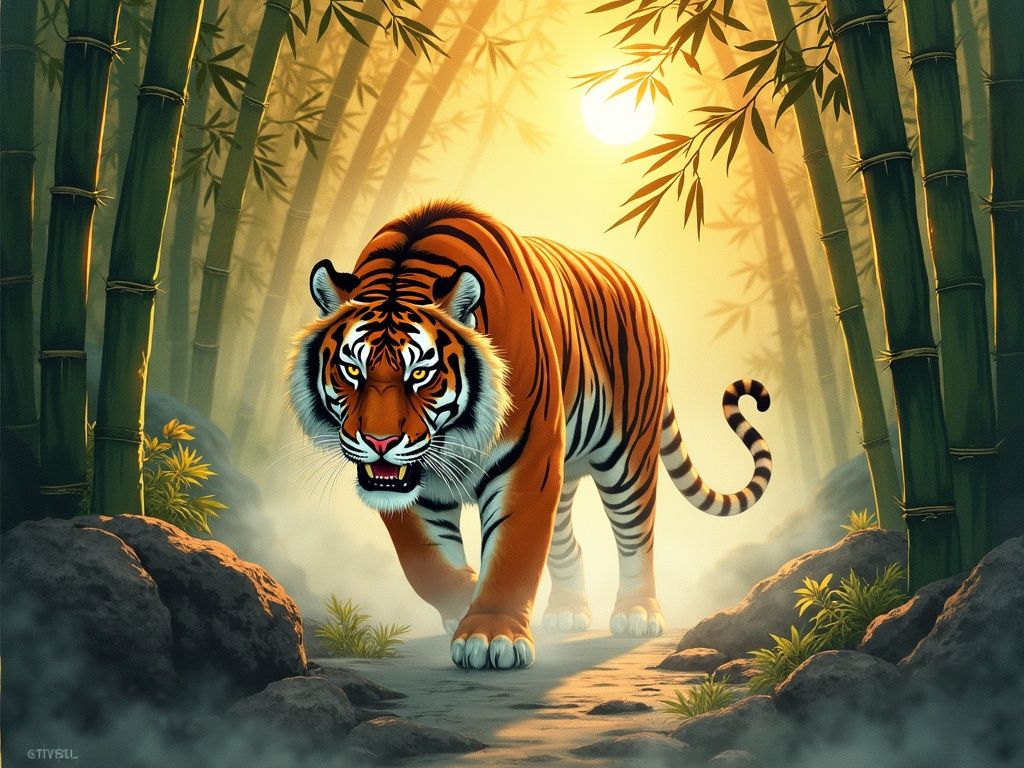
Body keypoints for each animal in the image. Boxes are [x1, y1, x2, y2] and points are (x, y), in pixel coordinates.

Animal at [288, 200, 772, 670]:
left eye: (421, 374)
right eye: (352, 369)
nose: (380, 443)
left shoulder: (524, 461)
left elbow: (512, 554)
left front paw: (489, 634)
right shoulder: (406, 487)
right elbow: (425, 564)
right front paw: (464, 605)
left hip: (627, 457)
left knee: (636, 534)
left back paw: (637, 613)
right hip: (563, 470)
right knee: (567, 543)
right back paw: (567, 611)